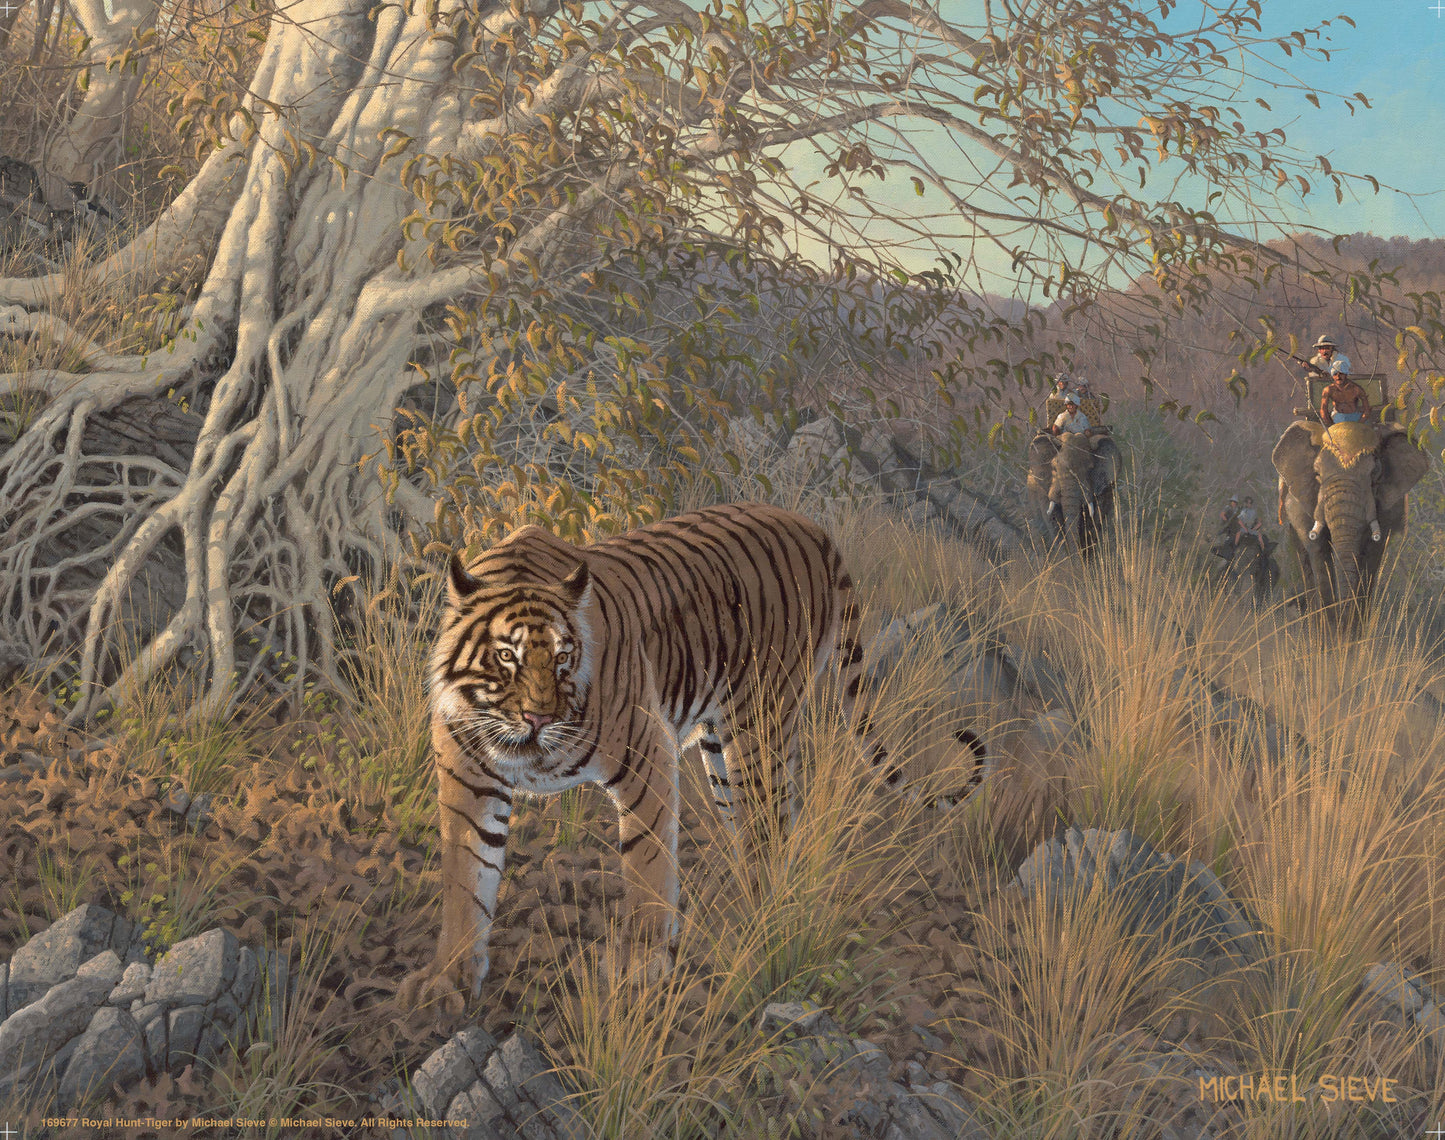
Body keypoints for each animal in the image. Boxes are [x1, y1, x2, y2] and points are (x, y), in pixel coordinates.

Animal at [397, 501, 992, 1005]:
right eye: (507, 656)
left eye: (565, 657)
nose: (542, 718)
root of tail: (810, 525)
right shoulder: (470, 781)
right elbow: (466, 879)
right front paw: (447, 982)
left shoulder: (646, 755)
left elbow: (648, 865)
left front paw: (641, 967)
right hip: (721, 749)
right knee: (768, 823)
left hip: (760, 724)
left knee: (772, 825)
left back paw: (762, 920)